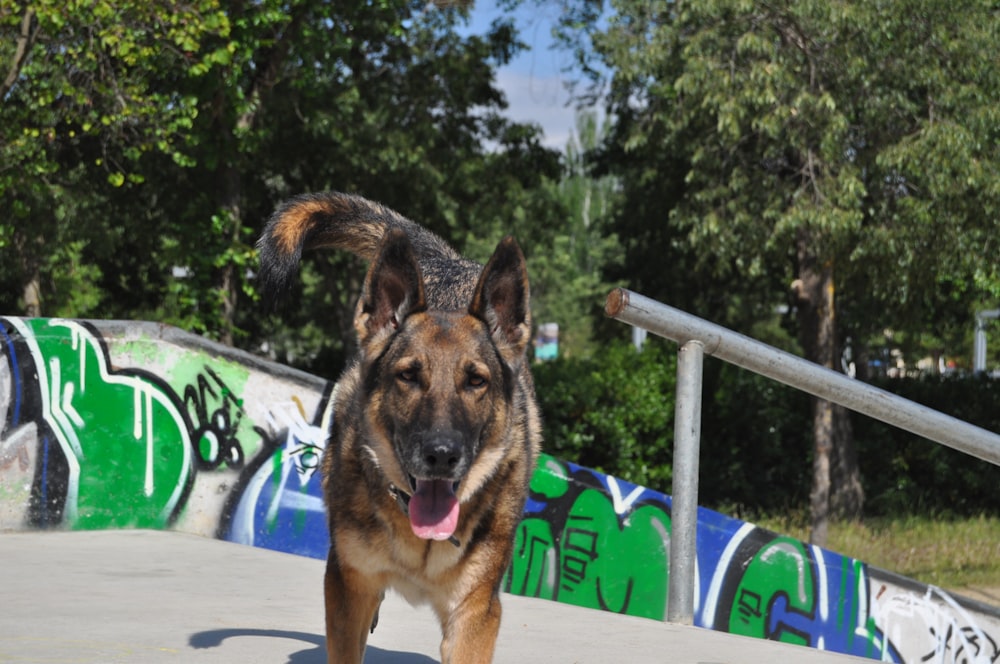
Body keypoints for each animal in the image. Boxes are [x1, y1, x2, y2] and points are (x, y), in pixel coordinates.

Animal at [256, 193, 540, 664]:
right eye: (408, 376)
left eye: (476, 381)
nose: (441, 455)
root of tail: (447, 264)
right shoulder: (347, 588)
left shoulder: (474, 614)